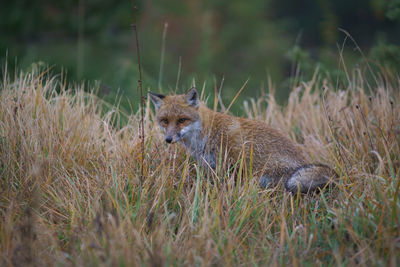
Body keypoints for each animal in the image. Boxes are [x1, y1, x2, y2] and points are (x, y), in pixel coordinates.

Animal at [148, 88, 336, 195]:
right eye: (164, 121)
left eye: (181, 120)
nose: (168, 139)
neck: (206, 135)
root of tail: (303, 162)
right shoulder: (212, 167)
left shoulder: (234, 162)